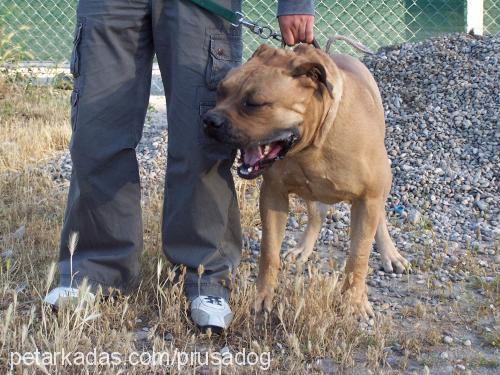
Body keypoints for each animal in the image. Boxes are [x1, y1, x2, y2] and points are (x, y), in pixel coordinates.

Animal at [203, 44, 410, 320]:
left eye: (254, 103)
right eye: (221, 91)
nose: (209, 120)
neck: (314, 142)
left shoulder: (368, 198)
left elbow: (358, 256)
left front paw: (354, 303)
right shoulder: (273, 195)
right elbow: (269, 252)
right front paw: (263, 296)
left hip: (381, 184)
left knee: (379, 219)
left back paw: (390, 254)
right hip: (311, 192)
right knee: (316, 215)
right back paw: (303, 248)